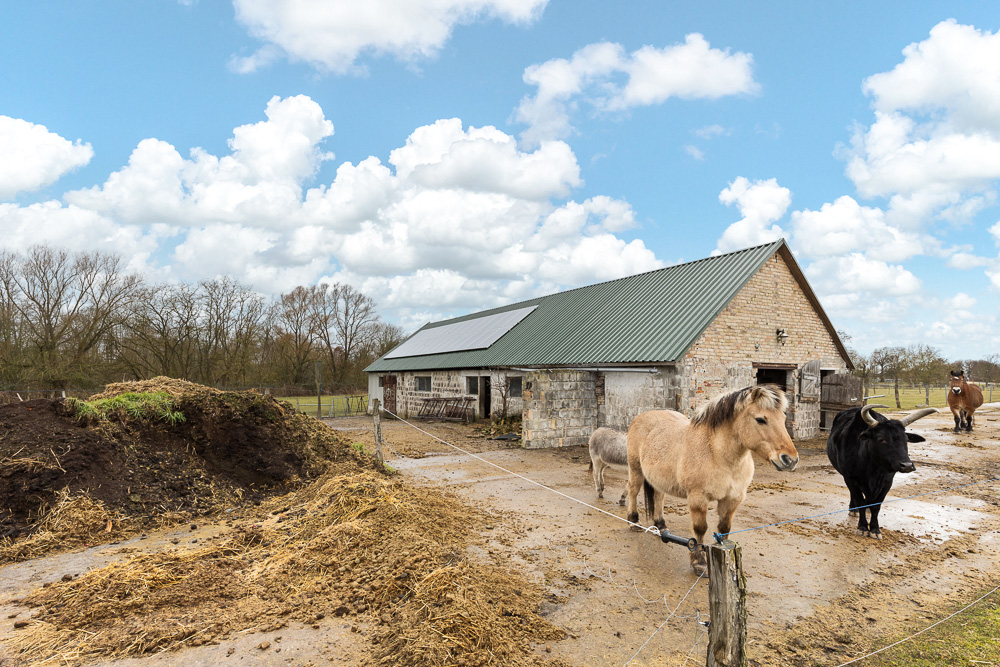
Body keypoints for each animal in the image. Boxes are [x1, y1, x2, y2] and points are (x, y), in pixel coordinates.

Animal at [625, 385, 798, 575]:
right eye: (760, 419)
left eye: (783, 418)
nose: (790, 460)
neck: (716, 453)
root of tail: (641, 417)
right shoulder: (698, 498)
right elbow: (700, 529)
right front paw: (699, 562)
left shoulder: (732, 500)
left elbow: (724, 530)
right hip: (636, 469)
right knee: (633, 490)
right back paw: (634, 522)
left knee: (658, 496)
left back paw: (661, 525)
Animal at [826, 404, 937, 539]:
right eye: (881, 439)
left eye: (906, 439)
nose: (907, 465)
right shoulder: (850, 478)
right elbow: (860, 501)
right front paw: (863, 527)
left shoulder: (887, 482)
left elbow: (876, 506)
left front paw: (875, 529)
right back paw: (853, 509)